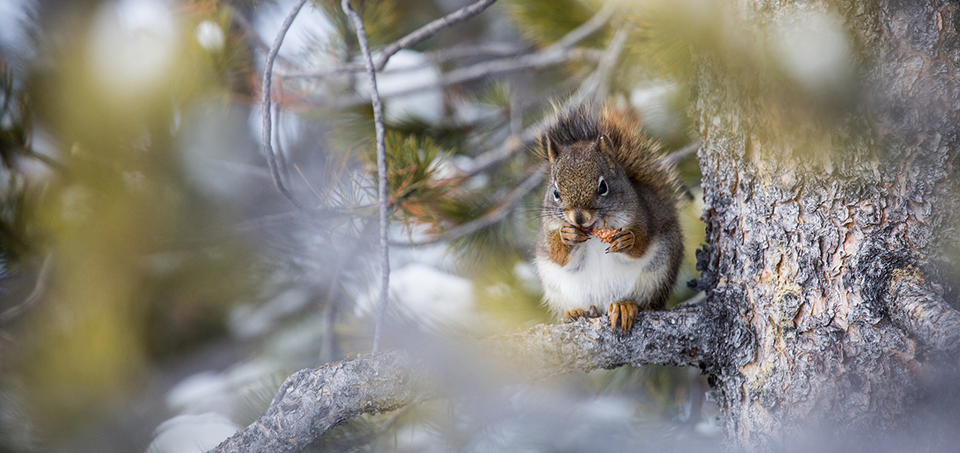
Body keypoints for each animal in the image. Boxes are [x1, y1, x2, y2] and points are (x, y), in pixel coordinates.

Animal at [533, 105, 684, 333]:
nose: (579, 218)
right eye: (556, 192)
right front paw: (567, 236)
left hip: (656, 276)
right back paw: (575, 313)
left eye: (603, 187)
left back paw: (624, 306)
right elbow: (557, 255)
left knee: (645, 303)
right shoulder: (548, 231)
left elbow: (642, 244)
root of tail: (603, 306)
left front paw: (627, 240)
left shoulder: (643, 215)